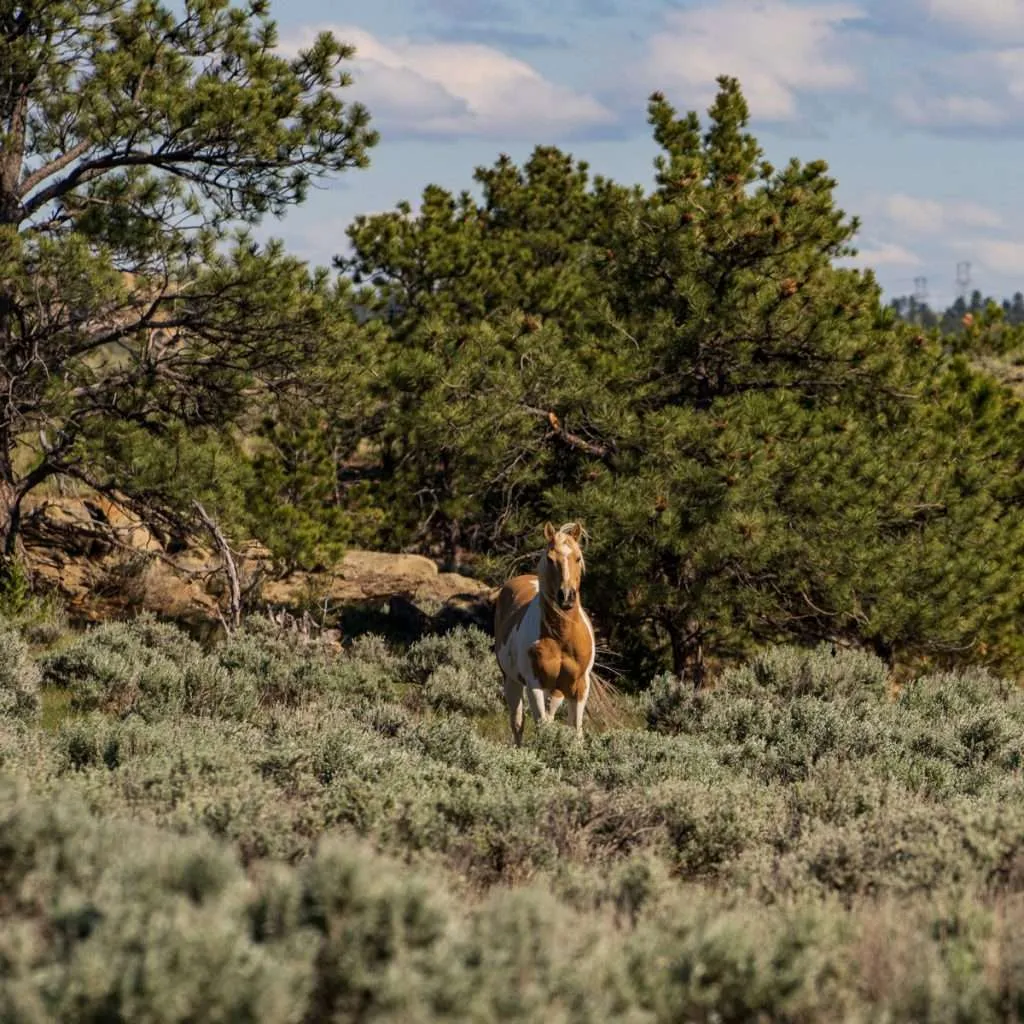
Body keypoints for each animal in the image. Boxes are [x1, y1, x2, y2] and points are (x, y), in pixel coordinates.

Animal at [494, 521, 595, 745]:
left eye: (578, 558)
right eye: (550, 559)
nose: (566, 597)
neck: (561, 637)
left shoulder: (580, 686)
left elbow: (576, 731)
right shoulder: (535, 686)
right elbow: (542, 727)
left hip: (557, 690)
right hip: (512, 681)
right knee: (517, 723)